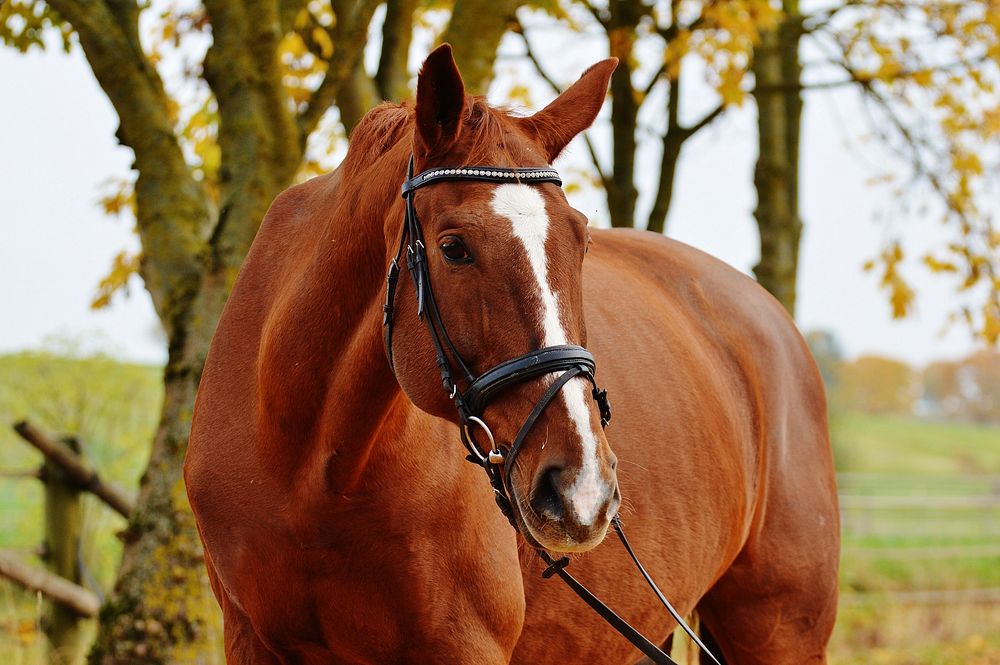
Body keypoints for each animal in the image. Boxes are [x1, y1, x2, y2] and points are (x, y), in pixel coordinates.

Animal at [186, 44, 836, 660]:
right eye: (453, 247)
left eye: (581, 240)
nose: (582, 491)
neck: (310, 471)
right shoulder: (249, 638)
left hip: (780, 632)